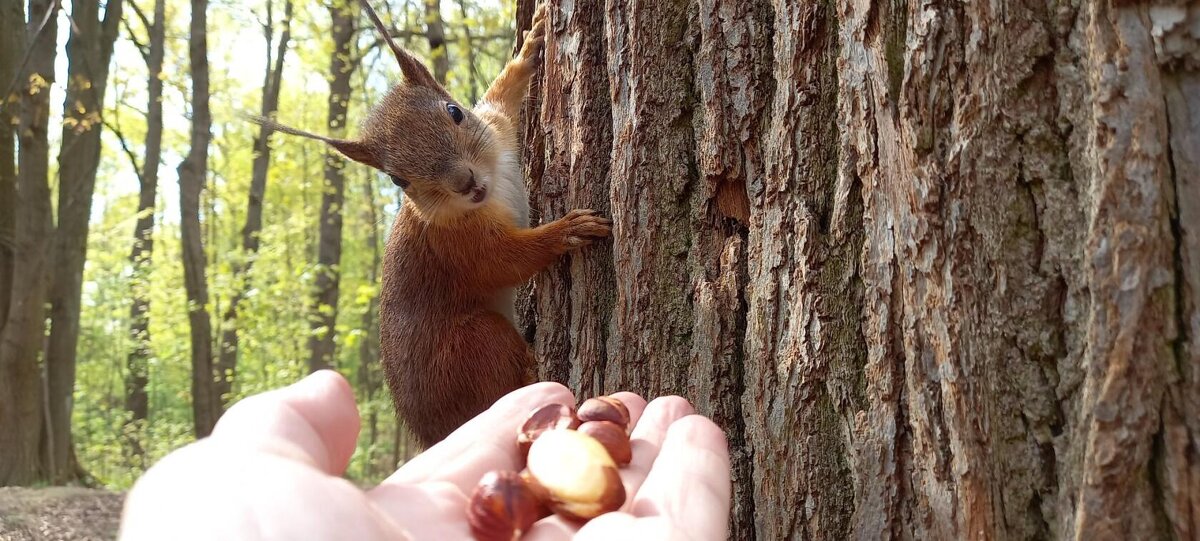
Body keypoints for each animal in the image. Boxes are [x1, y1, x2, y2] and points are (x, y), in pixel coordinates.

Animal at [253, 2, 609, 446]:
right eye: (396, 180)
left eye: (455, 112)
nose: (464, 182)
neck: (492, 186)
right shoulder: (454, 243)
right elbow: (506, 260)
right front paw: (568, 229)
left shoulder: (497, 127)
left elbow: (502, 95)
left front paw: (532, 41)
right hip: (474, 342)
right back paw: (534, 370)